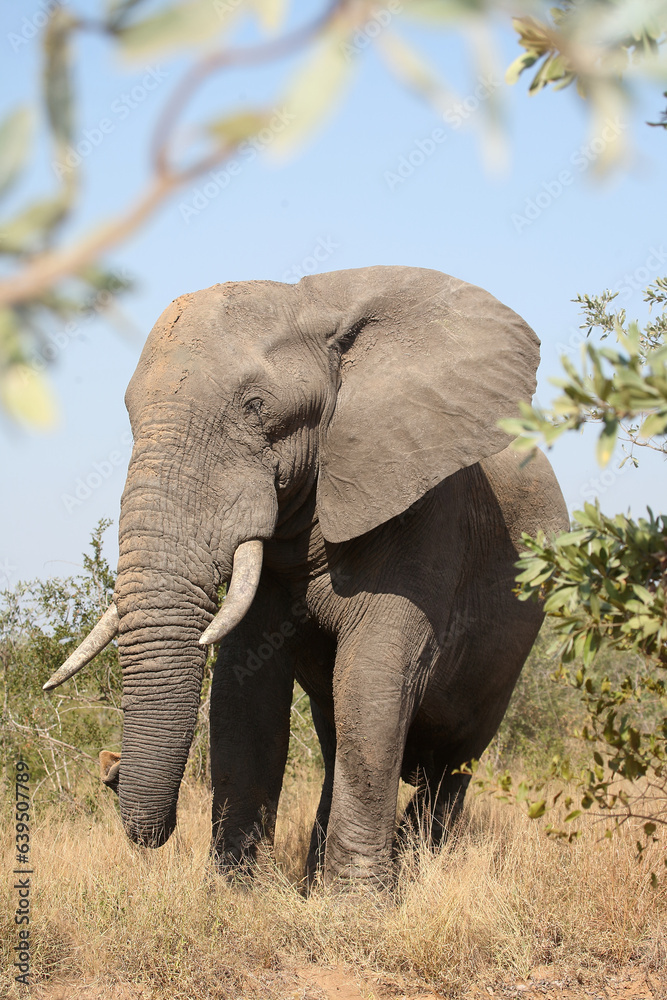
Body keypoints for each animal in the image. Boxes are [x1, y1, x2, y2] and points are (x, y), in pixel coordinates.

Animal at [44, 265, 568, 883]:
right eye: (128, 415)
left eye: (255, 406)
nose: (111, 766)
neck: (317, 308)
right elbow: (245, 690)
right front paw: (236, 891)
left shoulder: (426, 510)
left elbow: (374, 678)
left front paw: (357, 901)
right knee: (339, 739)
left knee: (454, 760)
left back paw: (415, 861)